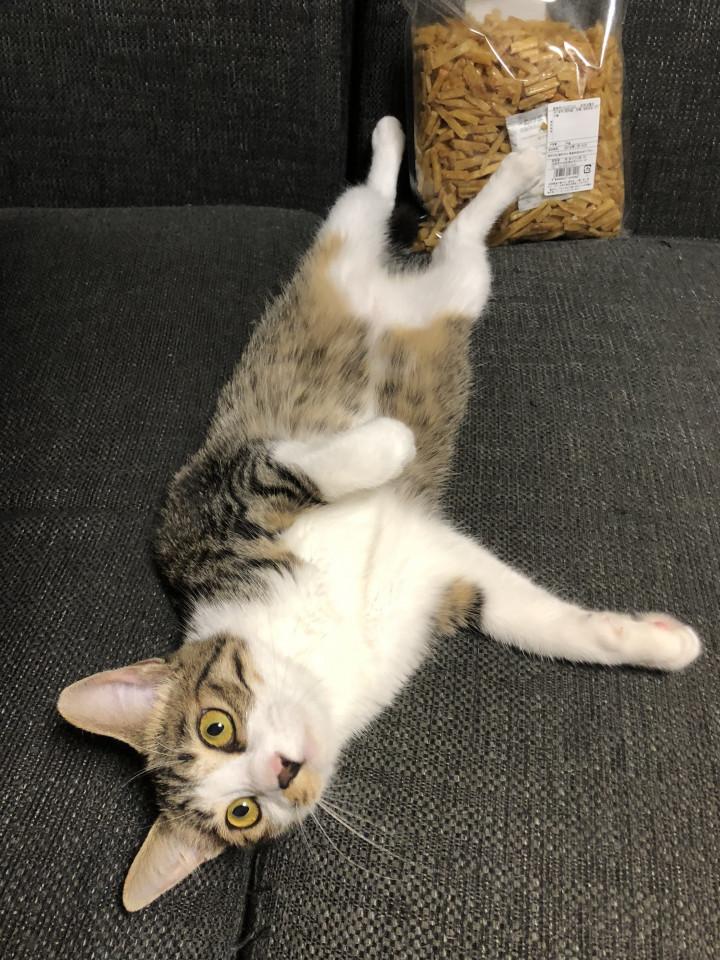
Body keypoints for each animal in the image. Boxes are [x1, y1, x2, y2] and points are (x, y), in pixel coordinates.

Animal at [57, 117, 701, 912]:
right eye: (242, 814)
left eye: (216, 726)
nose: (281, 775)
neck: (319, 656)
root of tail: (393, 289)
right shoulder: (441, 577)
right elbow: (535, 621)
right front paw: (660, 644)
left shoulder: (204, 506)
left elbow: (288, 466)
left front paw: (389, 442)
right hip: (453, 291)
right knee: (448, 245)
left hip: (350, 256)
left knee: (381, 206)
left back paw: (452, 153)